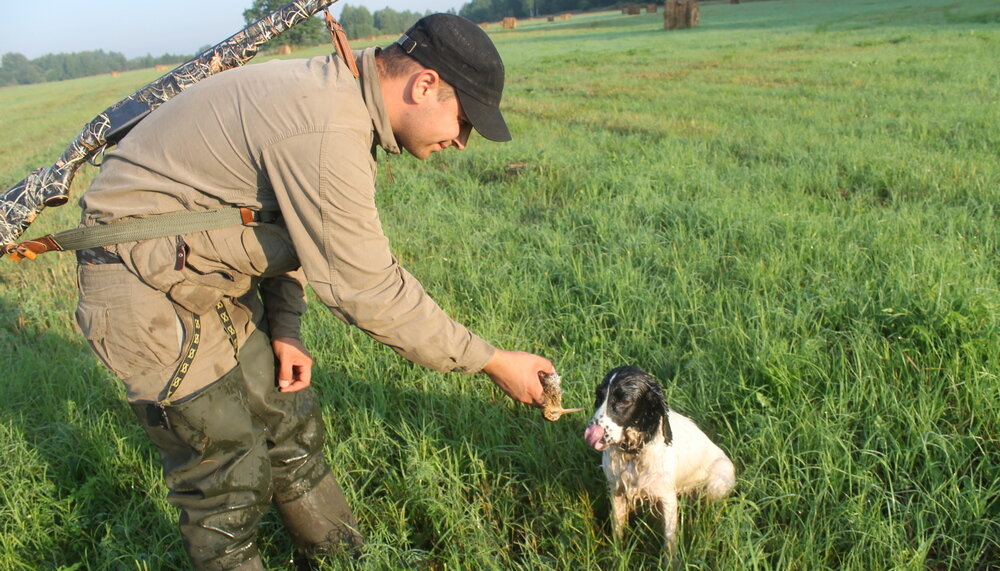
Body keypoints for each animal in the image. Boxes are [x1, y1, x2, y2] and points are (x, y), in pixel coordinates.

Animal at [584, 366, 740, 556]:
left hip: (717, 481)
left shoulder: (667, 498)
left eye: (625, 401)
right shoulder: (617, 490)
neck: (634, 453)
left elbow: (669, 539)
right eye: (599, 396)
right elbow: (618, 528)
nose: (591, 432)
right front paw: (617, 554)